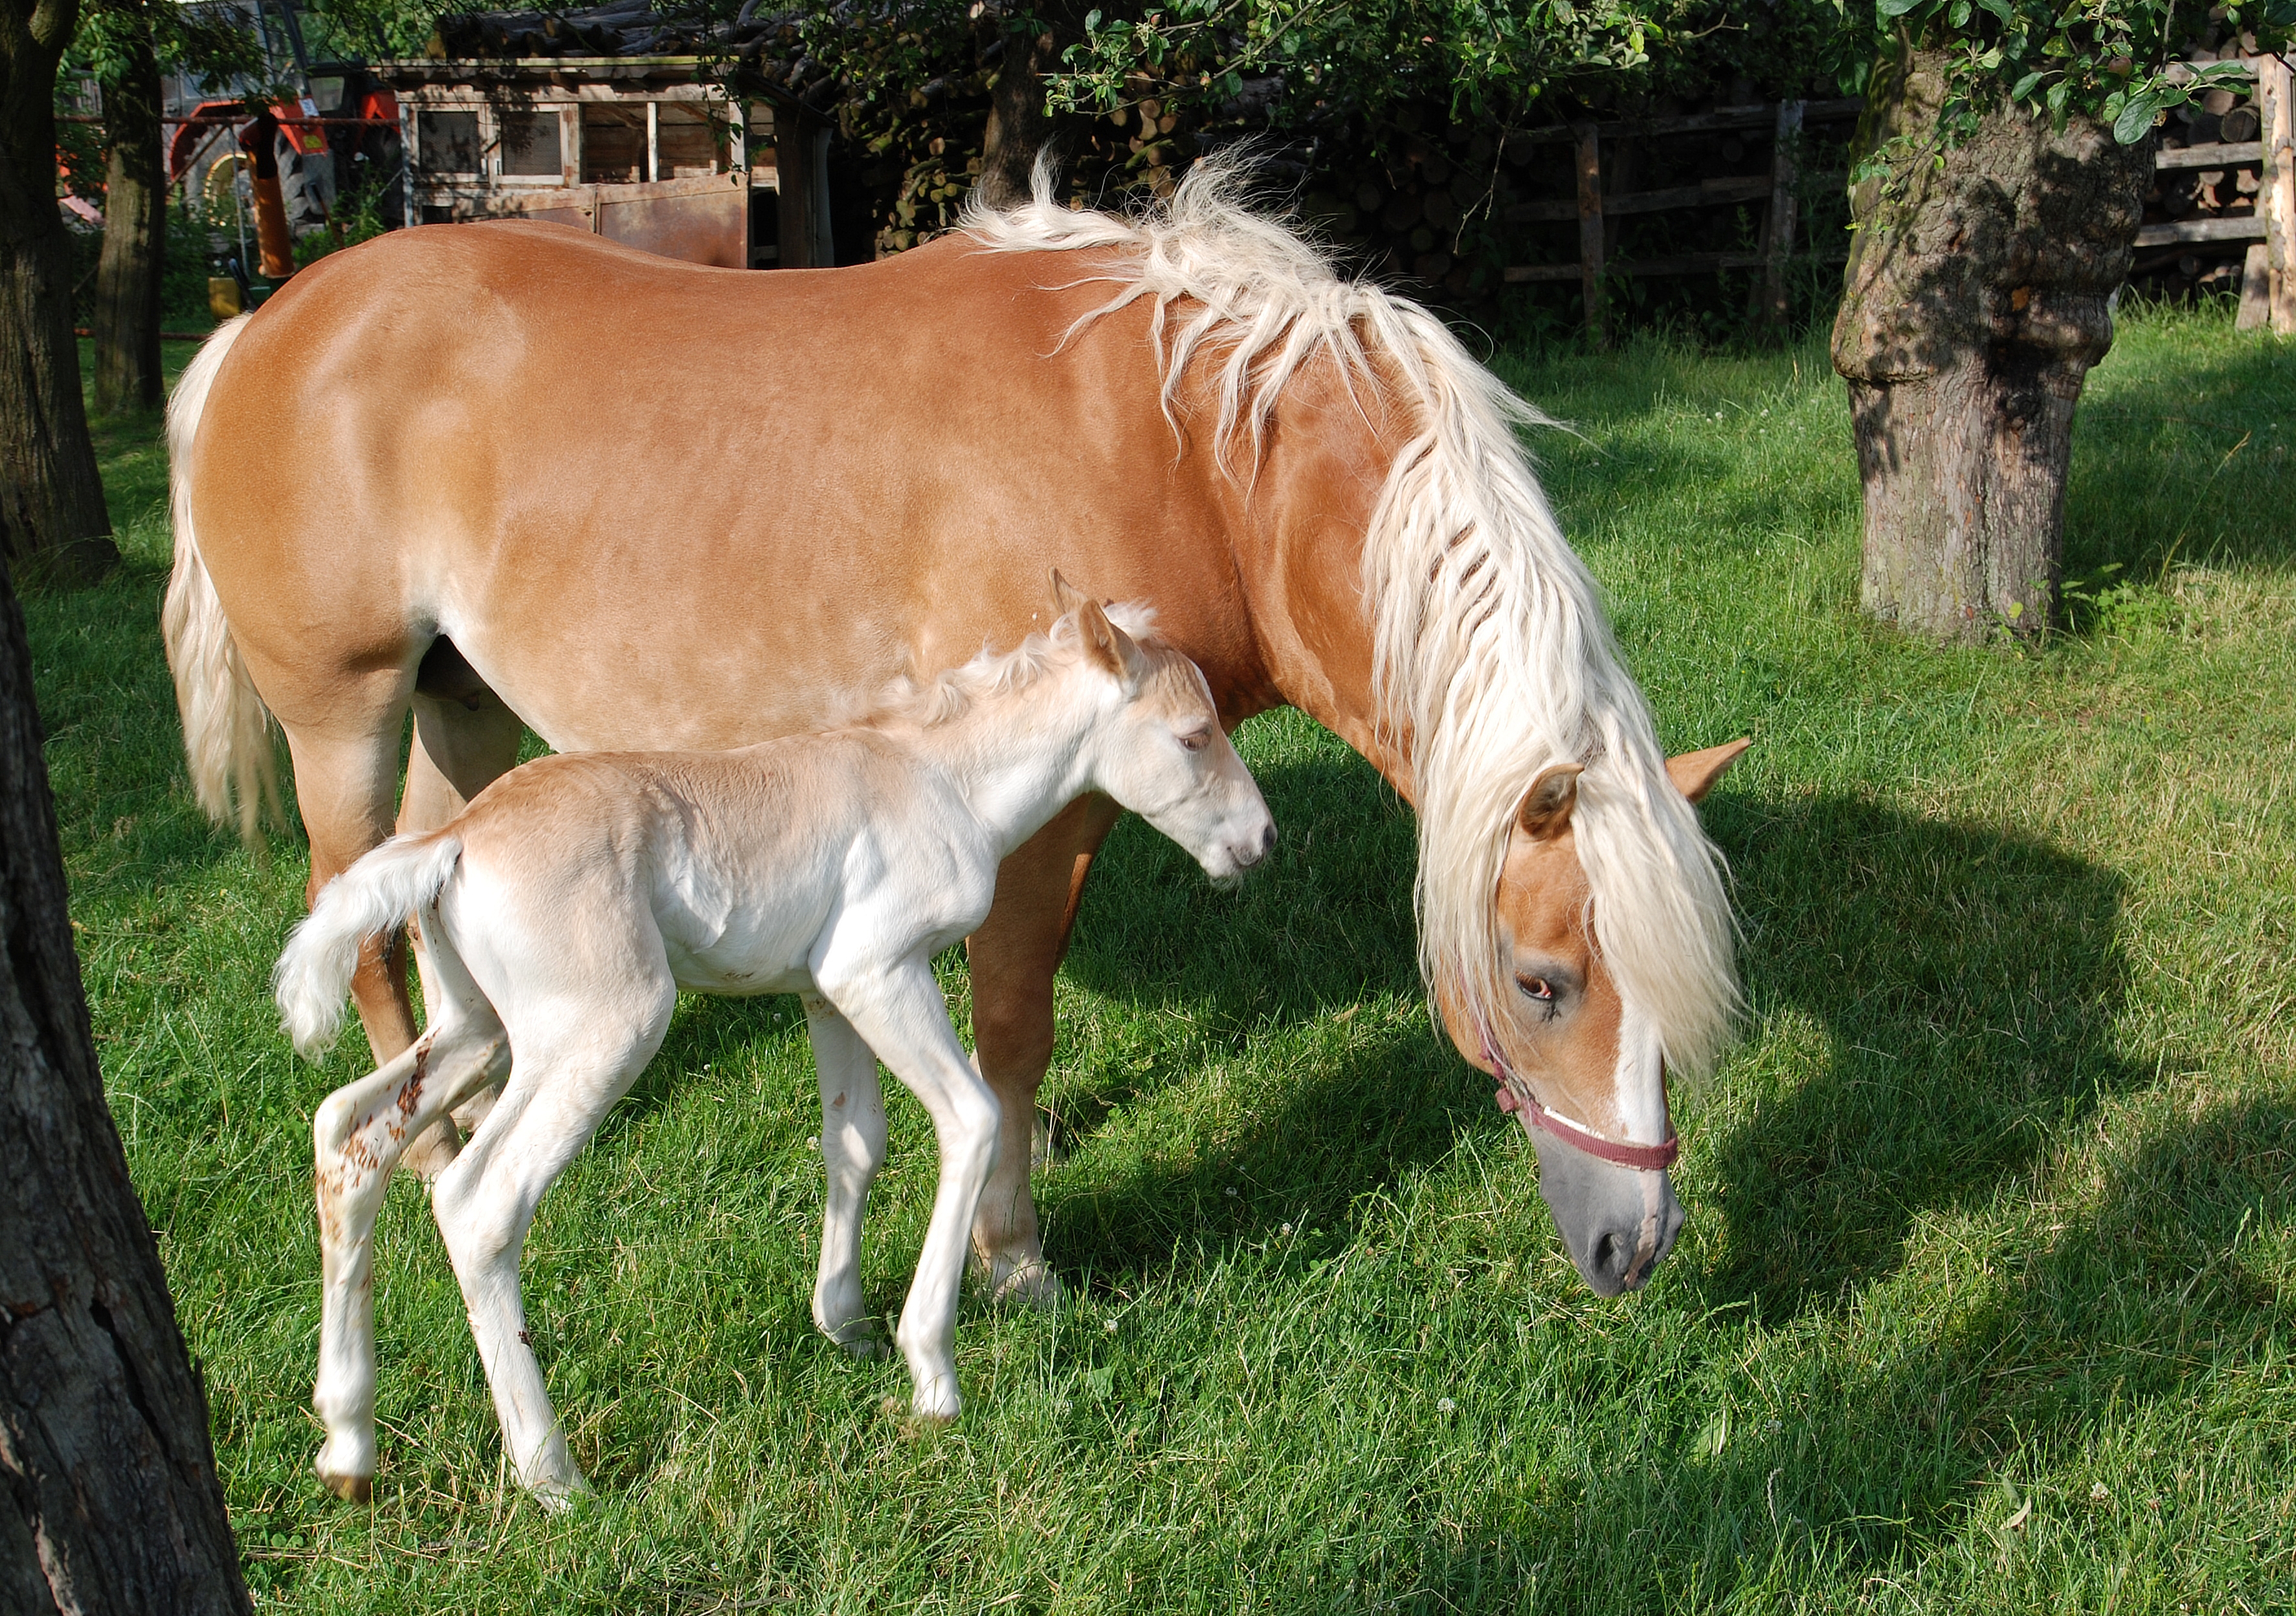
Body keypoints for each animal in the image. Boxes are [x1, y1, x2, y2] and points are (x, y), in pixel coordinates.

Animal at [166, 158, 1745, 1303]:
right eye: (1543, 983)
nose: (1637, 1246)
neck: (1196, 443)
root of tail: (266, 322)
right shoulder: (1046, 815)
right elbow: (1011, 1026)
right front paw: (1011, 1249)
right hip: (347, 718)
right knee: (356, 919)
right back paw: (429, 1145)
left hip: (464, 711)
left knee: (422, 891)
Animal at [273, 581, 1275, 1506]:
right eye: (1194, 736)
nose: (1260, 839)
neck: (942, 779)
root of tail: (454, 839)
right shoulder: (879, 969)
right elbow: (973, 1118)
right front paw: (931, 1374)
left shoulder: (825, 995)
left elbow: (855, 1140)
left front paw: (845, 1324)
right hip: (604, 1026)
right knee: (478, 1202)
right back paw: (553, 1475)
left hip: (478, 1029)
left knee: (347, 1134)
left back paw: (347, 1447)